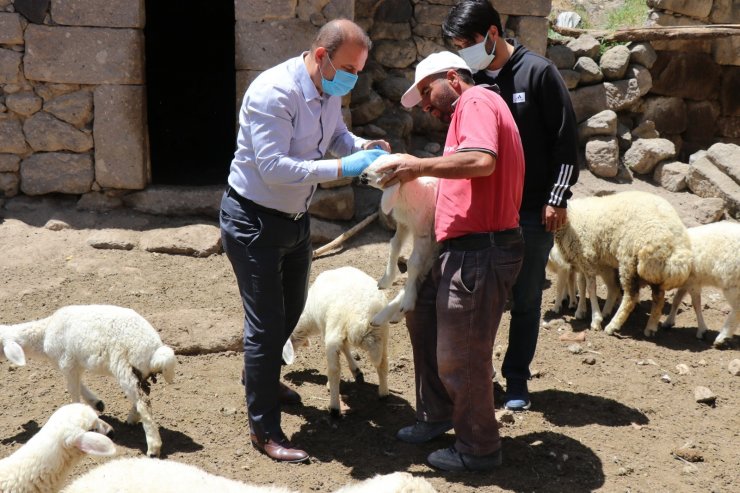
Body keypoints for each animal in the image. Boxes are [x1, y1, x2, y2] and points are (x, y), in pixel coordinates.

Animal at [0, 304, 177, 458]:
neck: (44, 334)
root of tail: (154, 350)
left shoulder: (67, 363)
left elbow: (73, 392)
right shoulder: (74, 365)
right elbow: (80, 386)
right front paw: (97, 403)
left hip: (124, 366)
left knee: (143, 402)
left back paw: (153, 448)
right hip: (140, 372)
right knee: (142, 396)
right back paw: (132, 419)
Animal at [290, 266, 394, 416]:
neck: (308, 319)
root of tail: (364, 318)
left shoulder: (330, 331)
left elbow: (343, 352)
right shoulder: (341, 335)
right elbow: (346, 348)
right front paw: (357, 371)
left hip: (333, 334)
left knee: (334, 371)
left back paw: (334, 407)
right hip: (384, 335)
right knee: (383, 363)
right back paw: (384, 393)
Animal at [360, 152, 440, 324]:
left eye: (386, 171)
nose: (363, 175)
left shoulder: (422, 232)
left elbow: (414, 264)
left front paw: (408, 300)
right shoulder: (403, 224)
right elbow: (394, 246)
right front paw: (386, 280)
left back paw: (400, 307)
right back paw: (384, 316)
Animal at [556, 190, 692, 336]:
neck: (570, 219)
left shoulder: (587, 258)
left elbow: (591, 289)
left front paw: (595, 320)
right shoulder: (582, 260)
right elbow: (582, 285)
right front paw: (581, 311)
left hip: (629, 261)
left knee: (630, 297)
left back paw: (613, 325)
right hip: (656, 271)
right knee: (658, 298)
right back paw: (650, 328)